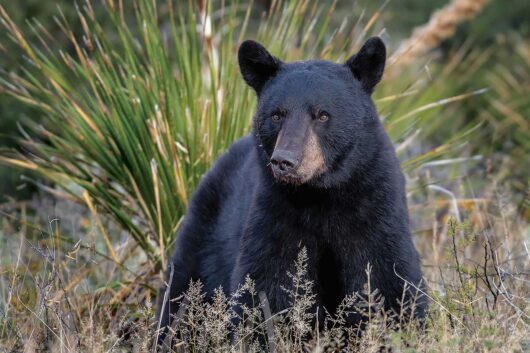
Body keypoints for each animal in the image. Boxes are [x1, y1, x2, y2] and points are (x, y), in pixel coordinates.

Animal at [156, 36, 424, 346]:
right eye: (276, 115)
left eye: (322, 115)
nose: (285, 161)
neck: (320, 194)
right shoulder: (275, 212)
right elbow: (268, 287)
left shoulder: (374, 205)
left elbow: (386, 279)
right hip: (204, 230)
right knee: (181, 291)